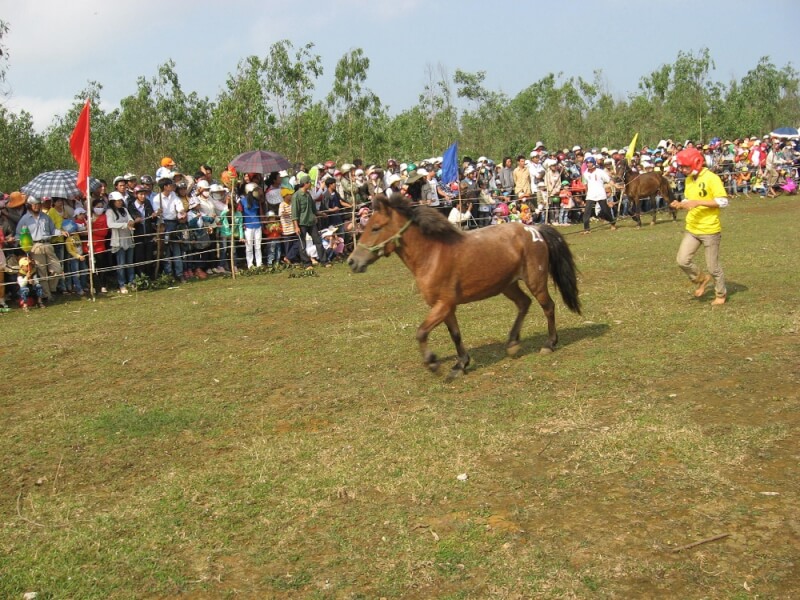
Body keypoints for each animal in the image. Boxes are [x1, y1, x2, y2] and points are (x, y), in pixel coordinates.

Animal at [347, 194, 581, 380]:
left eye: (375, 228)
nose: (352, 261)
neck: (432, 255)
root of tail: (534, 229)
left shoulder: (443, 304)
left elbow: (421, 332)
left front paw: (433, 363)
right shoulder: (445, 307)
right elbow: (455, 335)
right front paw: (460, 365)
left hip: (535, 281)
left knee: (548, 306)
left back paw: (549, 344)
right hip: (507, 284)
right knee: (524, 303)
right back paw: (512, 344)